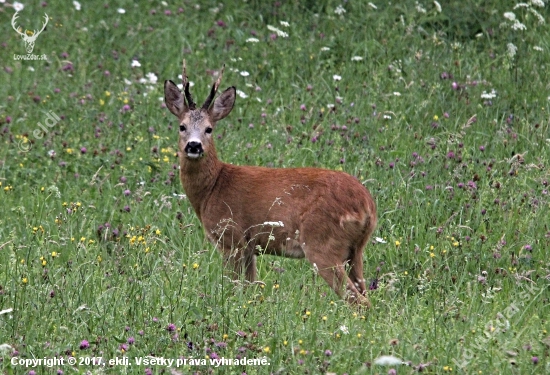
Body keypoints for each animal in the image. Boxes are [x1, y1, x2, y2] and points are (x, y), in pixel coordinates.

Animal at [164, 60, 378, 306]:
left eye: (209, 128)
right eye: (182, 126)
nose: (194, 146)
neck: (212, 189)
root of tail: (367, 205)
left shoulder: (231, 238)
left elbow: (232, 286)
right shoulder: (249, 247)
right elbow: (250, 288)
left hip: (322, 243)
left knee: (357, 300)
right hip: (356, 249)